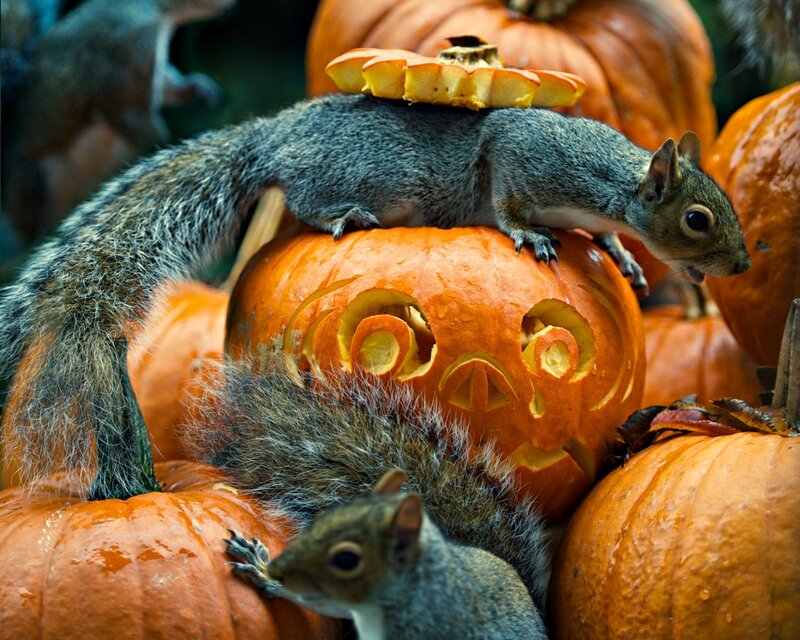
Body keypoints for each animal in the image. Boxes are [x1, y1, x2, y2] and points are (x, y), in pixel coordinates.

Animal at [0, 91, 750, 498]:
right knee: (302, 198)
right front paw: (527, 233)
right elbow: (506, 193)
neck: (614, 185)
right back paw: (343, 216)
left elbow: (605, 239)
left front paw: (623, 257)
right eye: (698, 219)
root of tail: (273, 135)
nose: (741, 263)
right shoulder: (526, 158)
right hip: (347, 174)